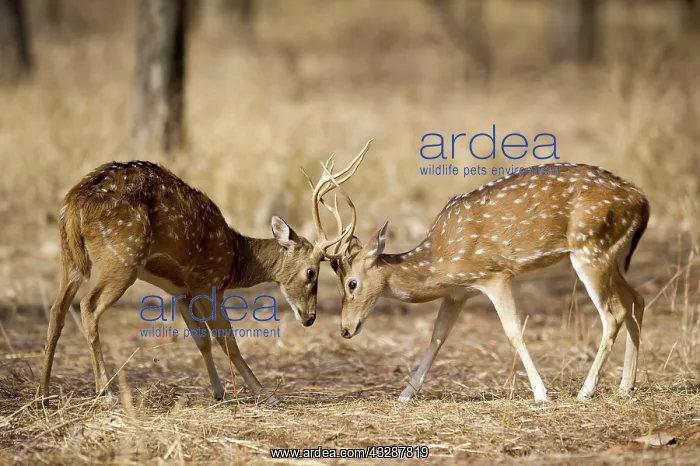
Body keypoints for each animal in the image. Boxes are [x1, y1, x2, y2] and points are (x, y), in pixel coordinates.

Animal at [38, 152, 366, 406]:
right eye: (312, 273)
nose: (310, 318)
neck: (234, 258)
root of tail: (73, 204)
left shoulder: (182, 290)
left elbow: (201, 339)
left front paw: (219, 391)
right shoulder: (209, 282)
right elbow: (227, 340)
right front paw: (266, 395)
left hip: (71, 257)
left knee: (57, 310)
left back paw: (43, 392)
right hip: (122, 257)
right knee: (88, 306)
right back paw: (104, 392)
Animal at [312, 160, 650, 403]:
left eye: (351, 284)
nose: (345, 329)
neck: (440, 261)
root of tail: (642, 199)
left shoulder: (495, 274)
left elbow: (514, 330)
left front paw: (541, 394)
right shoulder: (456, 293)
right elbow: (437, 336)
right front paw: (406, 393)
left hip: (590, 248)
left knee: (614, 313)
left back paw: (585, 391)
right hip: (614, 256)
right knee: (637, 300)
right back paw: (625, 387)